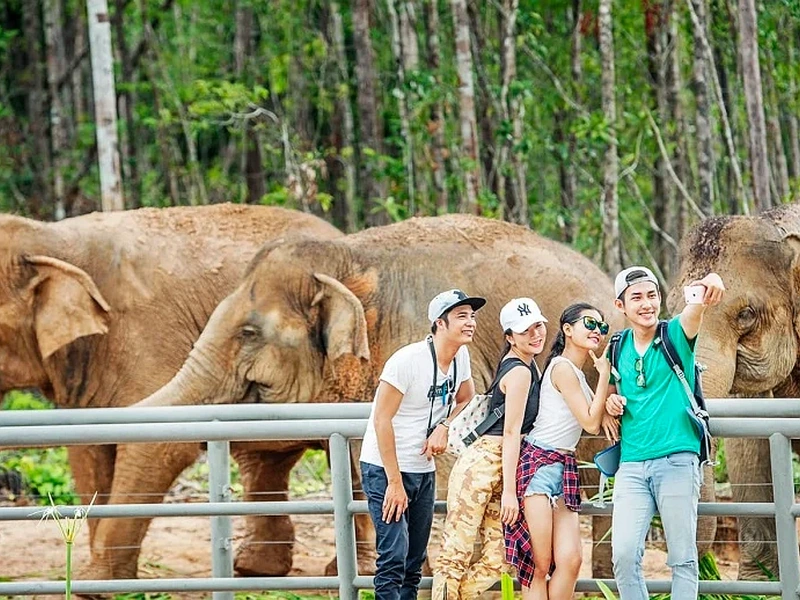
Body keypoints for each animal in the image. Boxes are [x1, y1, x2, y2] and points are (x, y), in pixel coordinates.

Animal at [0, 204, 343, 579]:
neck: (51, 237)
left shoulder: (145, 335)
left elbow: (158, 446)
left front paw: (94, 582)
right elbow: (88, 452)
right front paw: (96, 580)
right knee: (263, 459)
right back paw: (254, 569)